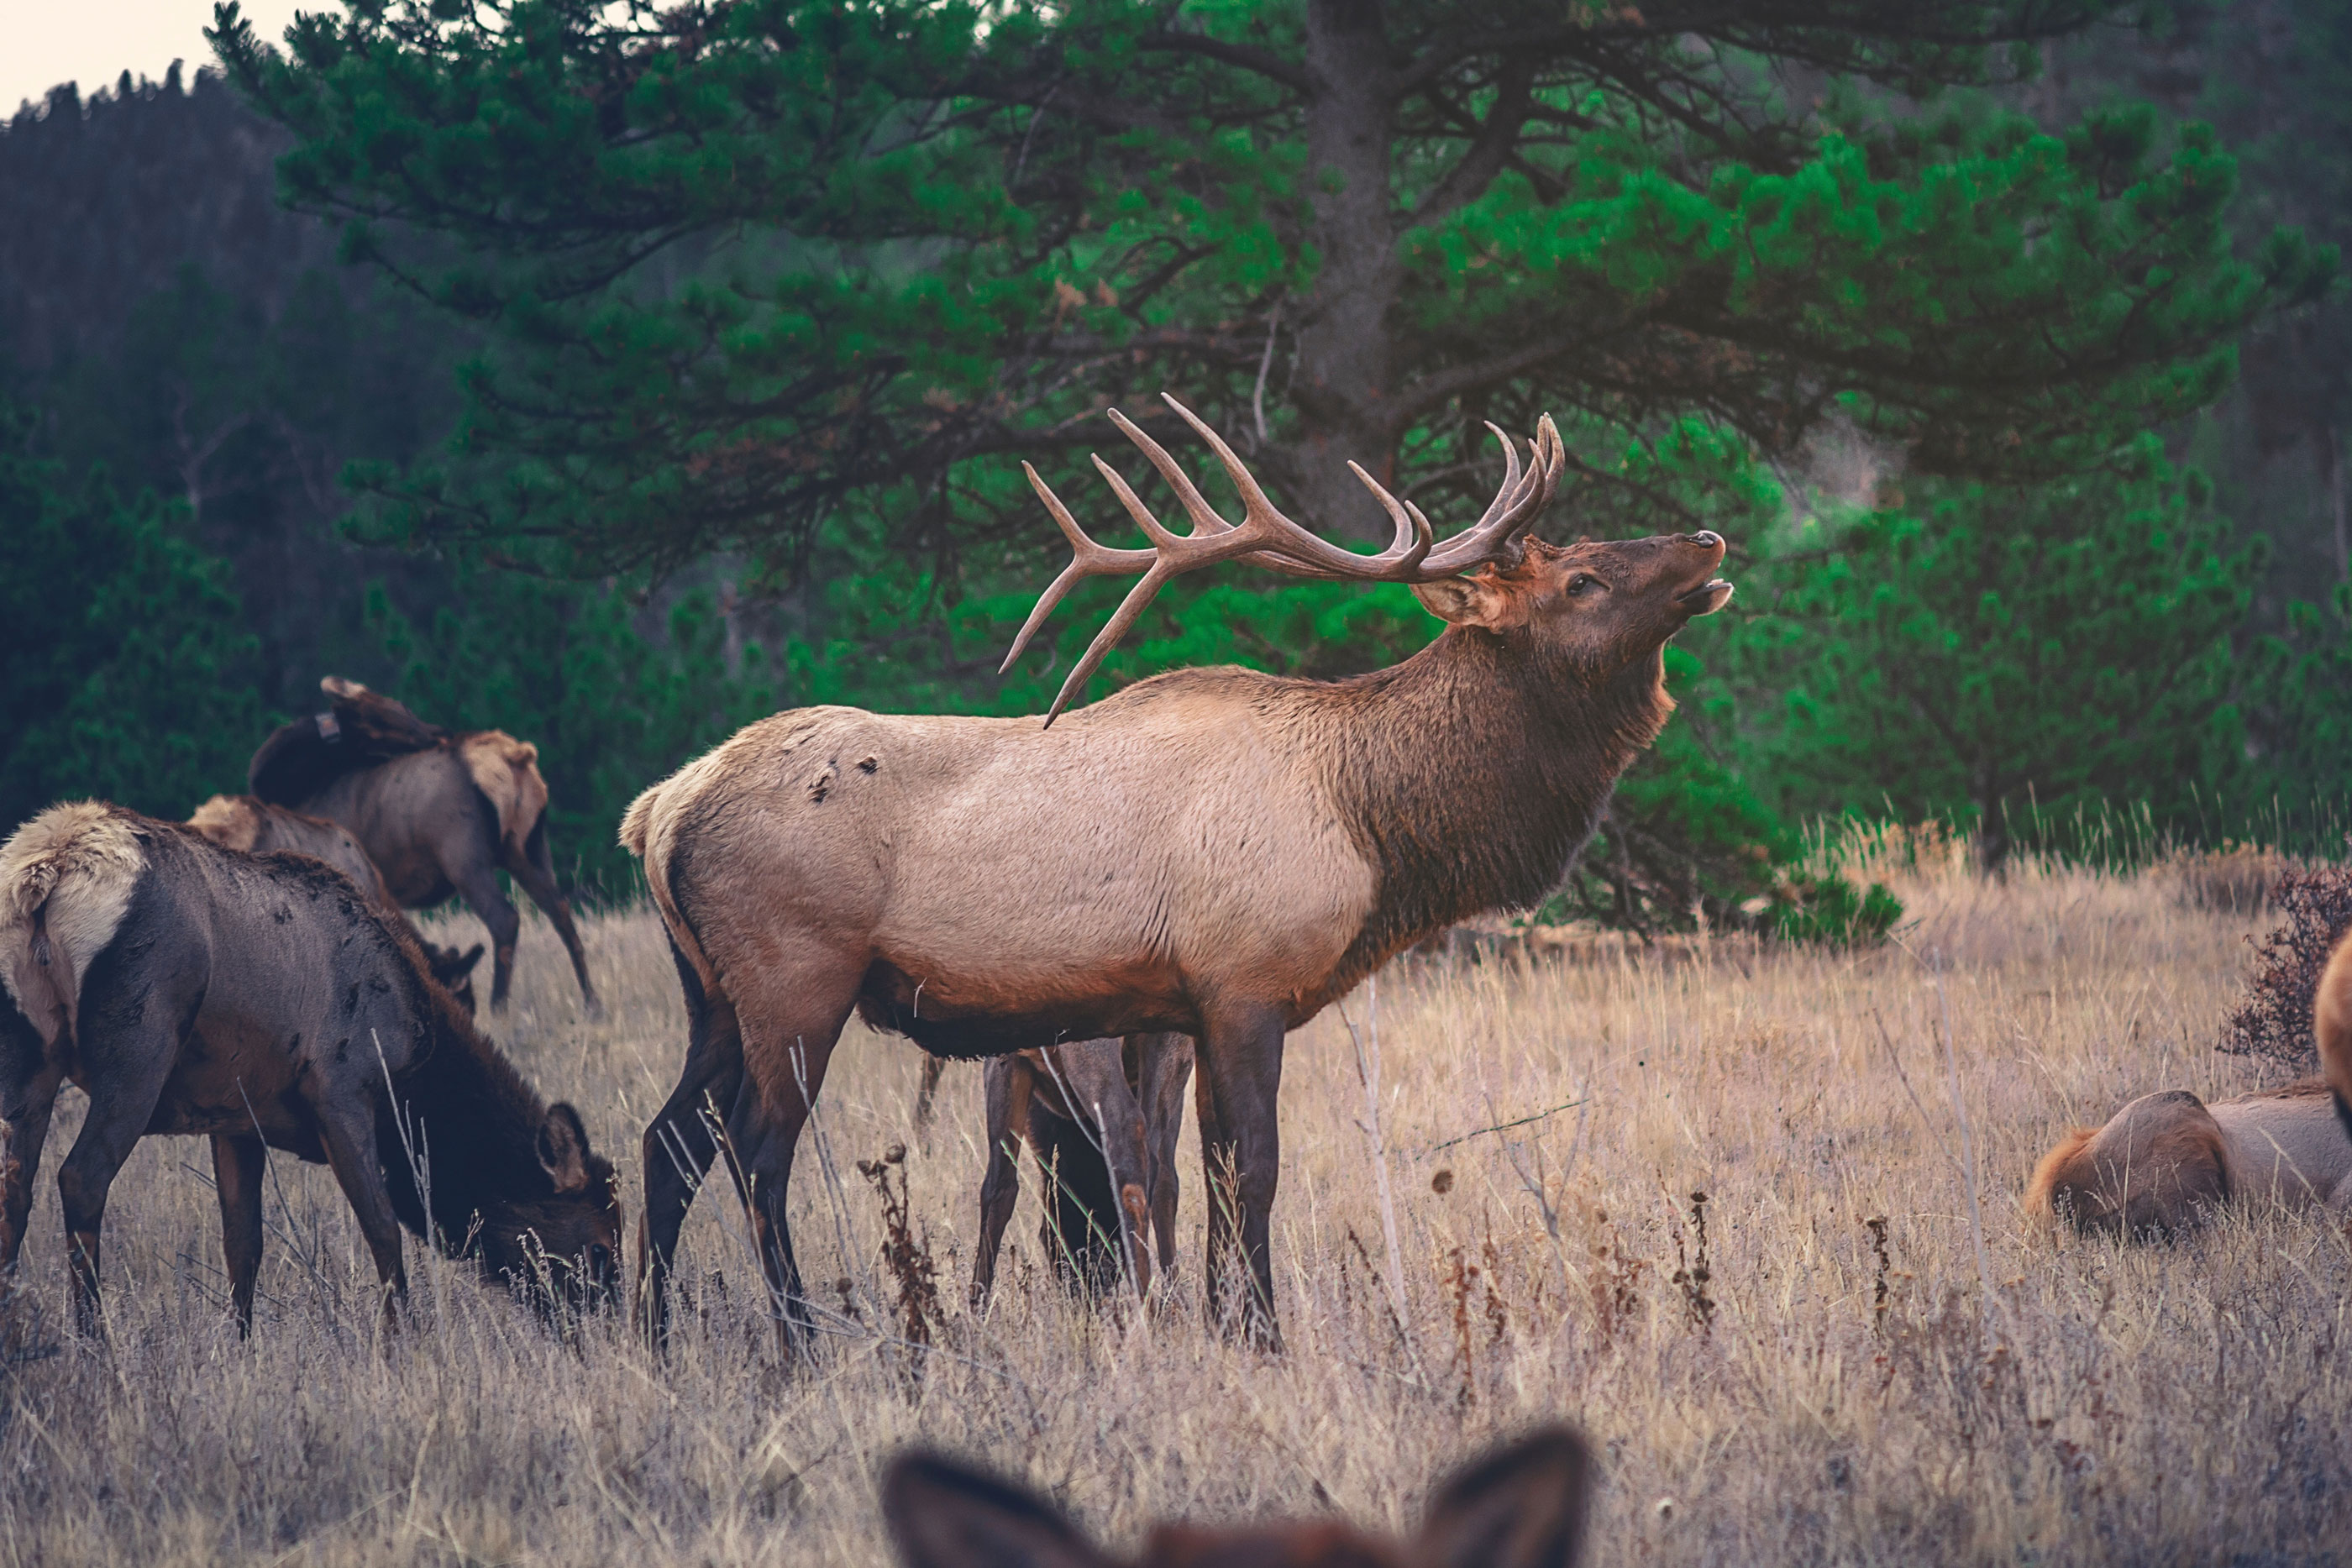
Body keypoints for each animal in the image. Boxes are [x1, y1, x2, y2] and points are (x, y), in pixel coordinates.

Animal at [0, 808, 625, 1335]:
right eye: (599, 1245)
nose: (612, 1330)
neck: (414, 1074)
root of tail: (45, 872)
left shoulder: (235, 1118)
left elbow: (243, 1244)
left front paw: (242, 1347)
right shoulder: (341, 1089)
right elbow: (384, 1231)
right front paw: (401, 1345)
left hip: (30, 1058)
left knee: (15, 1190)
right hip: (140, 1048)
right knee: (81, 1177)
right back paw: (94, 1346)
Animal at [245, 681, 597, 1010]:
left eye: (400, 706)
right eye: (382, 715)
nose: (440, 733)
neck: (292, 785)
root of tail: (517, 757)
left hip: (462, 854)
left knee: (505, 919)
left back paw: (499, 1008)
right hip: (529, 847)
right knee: (561, 911)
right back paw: (592, 1004)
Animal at [625, 395, 1730, 1354]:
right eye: (1580, 581)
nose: (1709, 543)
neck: (1371, 821)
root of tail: (660, 810)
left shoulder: (1185, 1005)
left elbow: (1200, 1174)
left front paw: (1218, 1325)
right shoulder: (1244, 981)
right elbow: (1256, 1170)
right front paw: (1266, 1338)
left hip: (709, 993)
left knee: (666, 1140)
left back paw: (651, 1336)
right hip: (796, 976)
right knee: (755, 1155)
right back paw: (798, 1342)